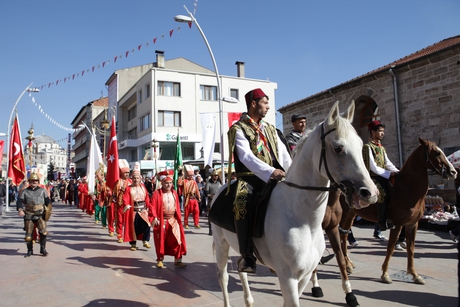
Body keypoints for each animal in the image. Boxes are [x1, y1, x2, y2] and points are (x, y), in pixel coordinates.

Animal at [210, 100, 380, 306]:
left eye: (361, 145)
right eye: (338, 148)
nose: (370, 193)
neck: (304, 220)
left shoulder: (304, 276)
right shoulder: (287, 277)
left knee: (241, 268)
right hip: (221, 243)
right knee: (223, 277)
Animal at [338, 138, 456, 286]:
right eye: (436, 152)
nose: (453, 172)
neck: (408, 189)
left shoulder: (412, 224)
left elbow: (411, 248)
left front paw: (415, 275)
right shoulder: (397, 224)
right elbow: (391, 248)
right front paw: (385, 274)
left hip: (351, 213)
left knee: (344, 235)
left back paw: (348, 263)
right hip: (344, 213)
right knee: (341, 234)